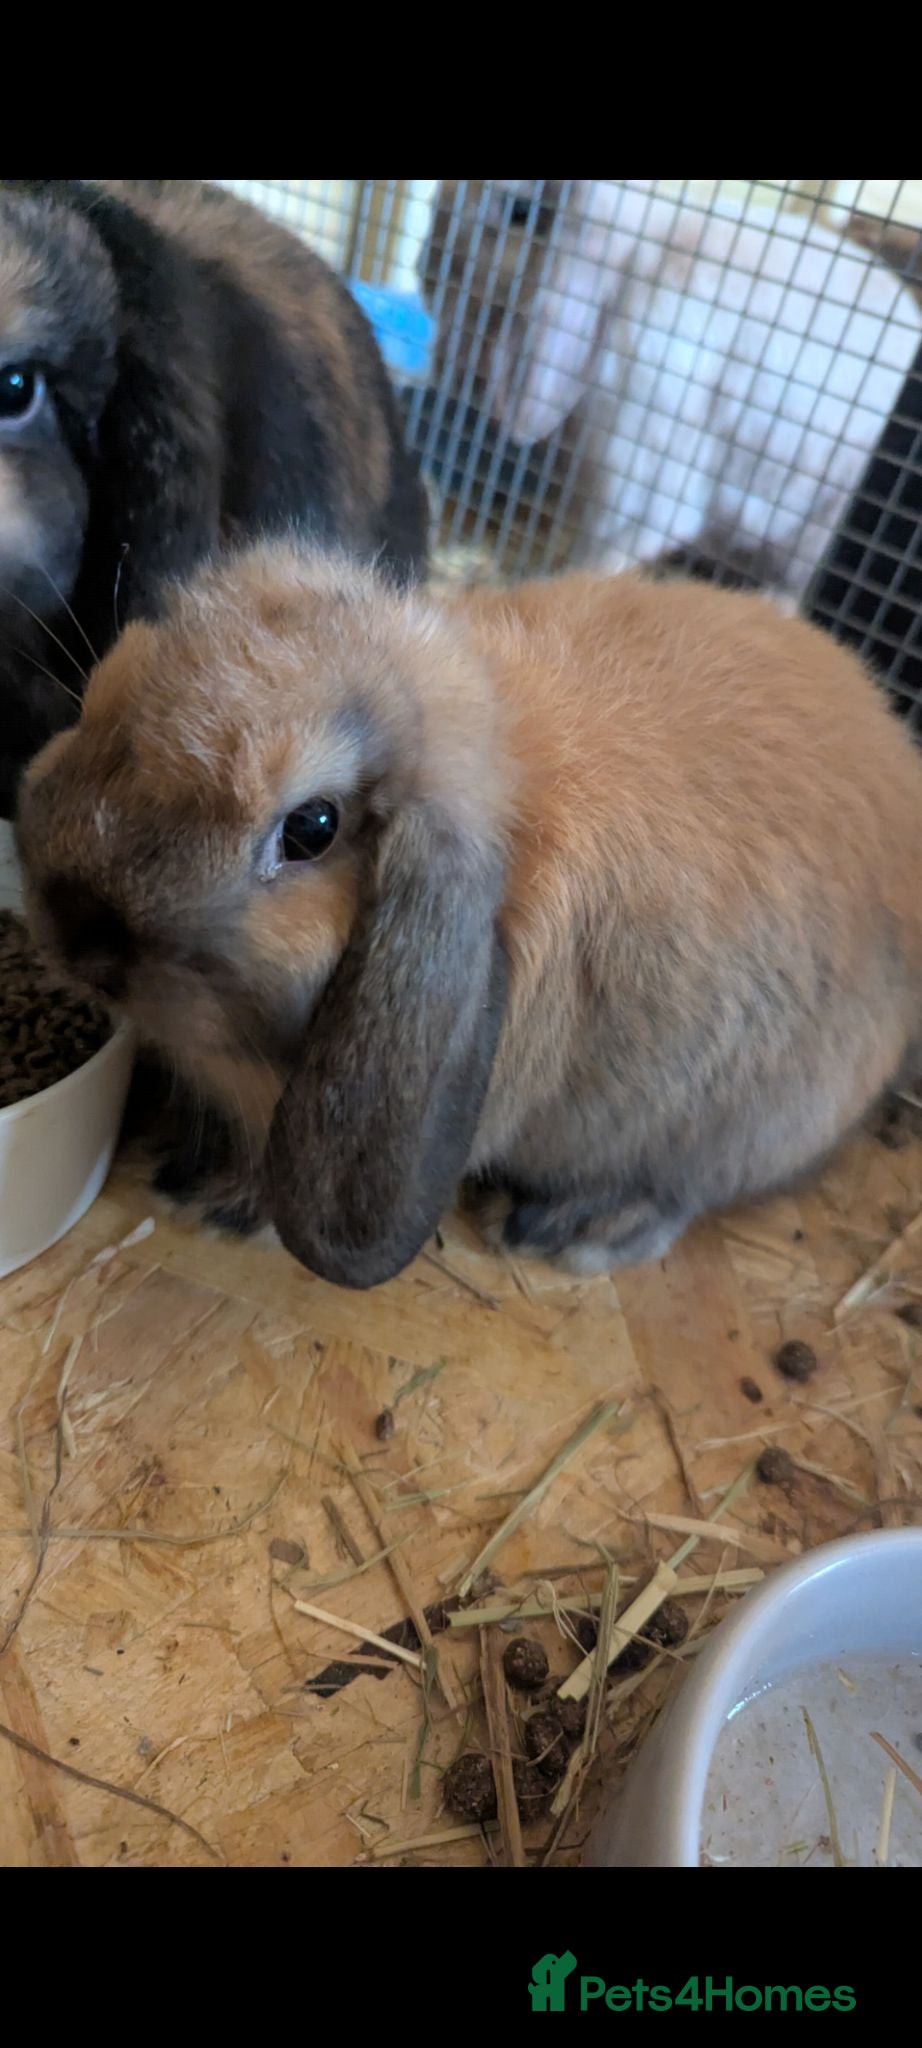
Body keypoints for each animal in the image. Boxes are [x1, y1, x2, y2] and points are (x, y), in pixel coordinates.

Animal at [17, 540, 922, 1290]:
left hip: (742, 1124)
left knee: (683, 1191)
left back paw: (575, 1228)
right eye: (101, 690)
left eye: (311, 827)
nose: (73, 930)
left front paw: (215, 1201)